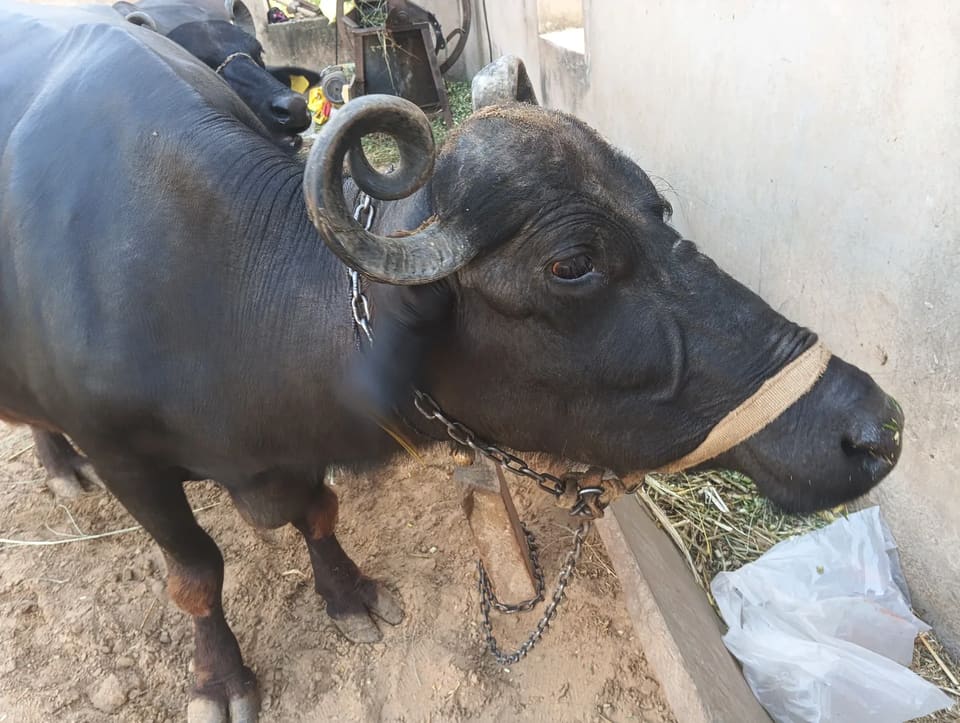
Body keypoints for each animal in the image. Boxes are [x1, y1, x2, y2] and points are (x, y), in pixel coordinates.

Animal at [0, 3, 903, 721]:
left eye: (659, 206)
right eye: (572, 263)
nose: (874, 427)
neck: (213, 285)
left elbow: (317, 511)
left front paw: (350, 594)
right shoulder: (131, 462)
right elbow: (195, 572)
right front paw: (220, 679)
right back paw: (59, 466)